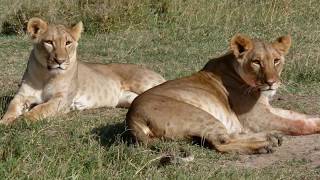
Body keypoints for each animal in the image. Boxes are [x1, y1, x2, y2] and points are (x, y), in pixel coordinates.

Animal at [0, 17, 165, 125]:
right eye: (49, 42)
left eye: (68, 43)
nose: (60, 61)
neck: (46, 75)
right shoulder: (22, 95)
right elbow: (11, 107)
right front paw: (5, 121)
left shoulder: (62, 99)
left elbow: (41, 108)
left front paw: (21, 121)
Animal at [126, 33, 320, 153]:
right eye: (256, 62)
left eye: (276, 61)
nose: (272, 83)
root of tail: (132, 117)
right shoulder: (257, 118)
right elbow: (293, 124)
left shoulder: (267, 110)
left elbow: (296, 115)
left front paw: (315, 118)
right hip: (201, 115)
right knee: (221, 142)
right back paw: (264, 145)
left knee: (230, 135)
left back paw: (271, 137)